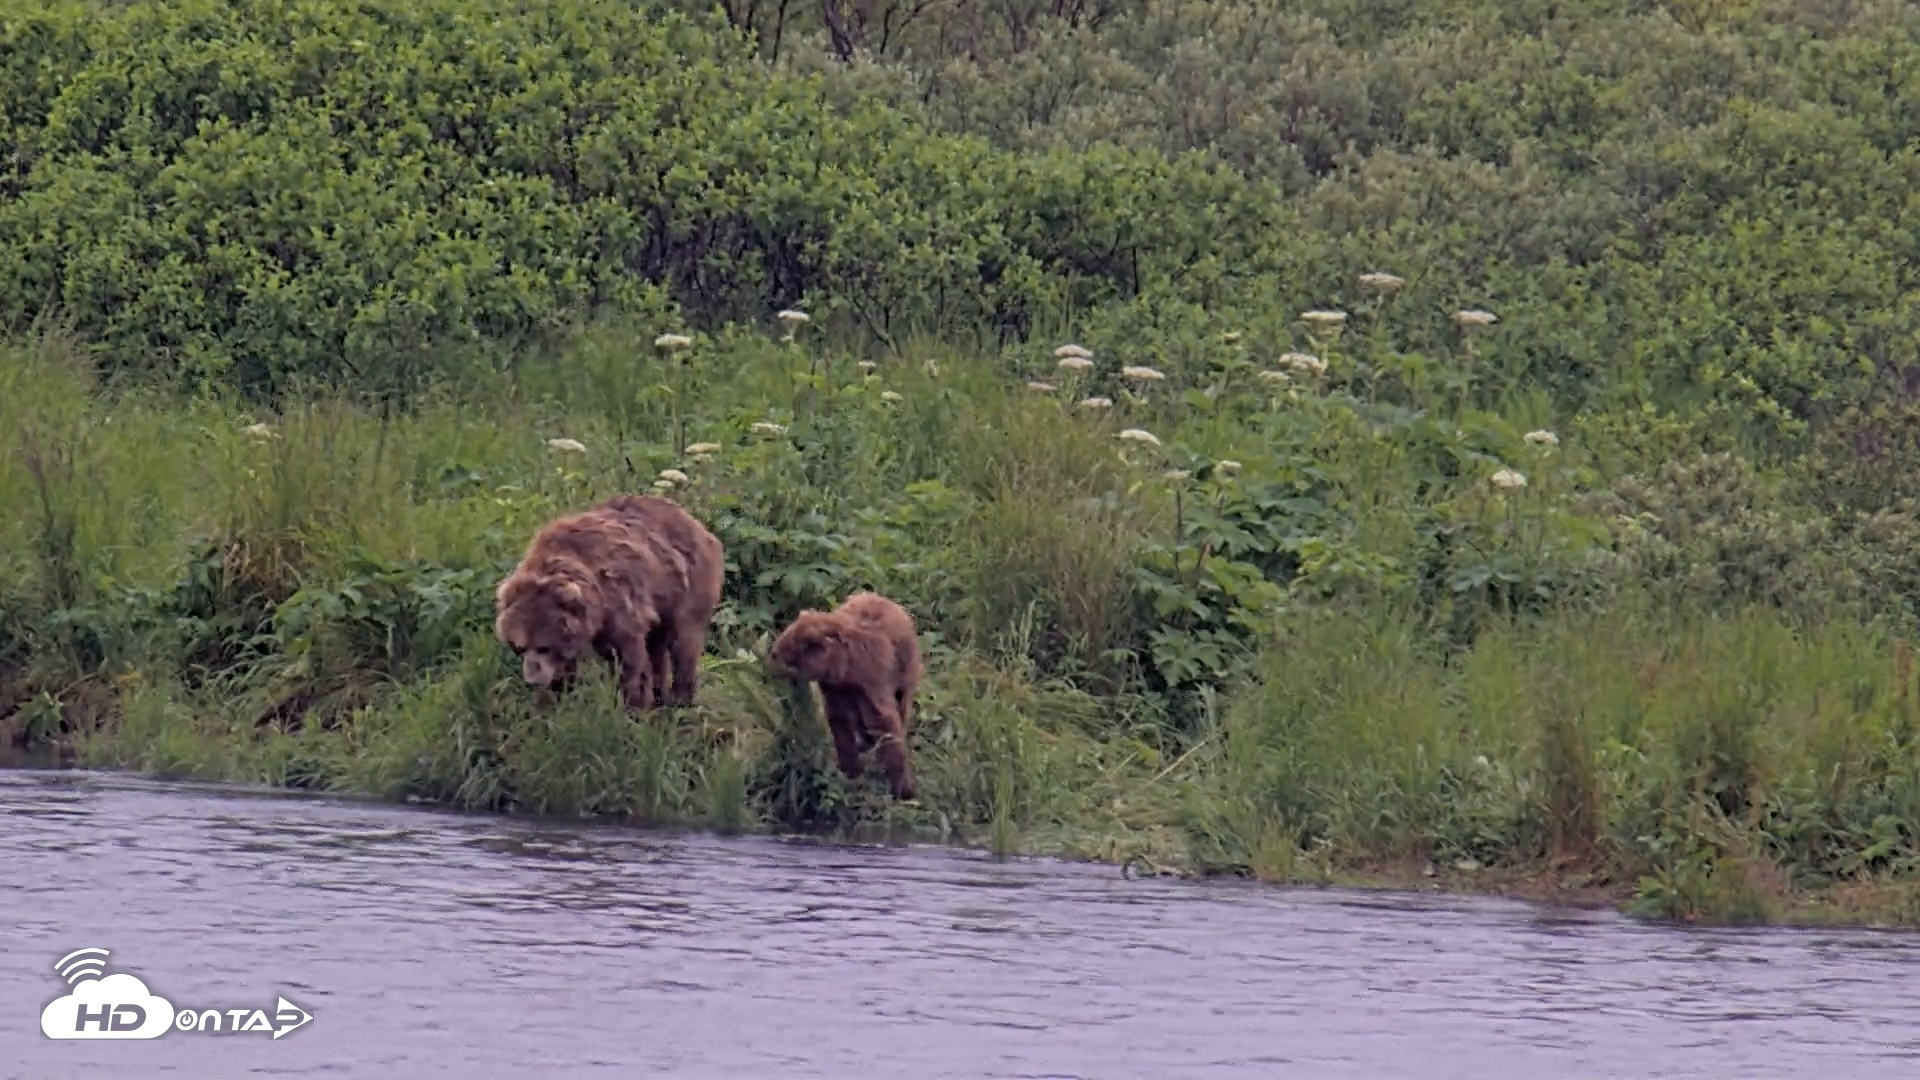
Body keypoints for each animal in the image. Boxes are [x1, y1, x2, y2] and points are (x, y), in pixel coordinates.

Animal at [494, 494, 724, 712]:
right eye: (519, 646)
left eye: (544, 647)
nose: (532, 681)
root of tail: (695, 522)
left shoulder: (618, 601)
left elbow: (628, 658)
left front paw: (634, 705)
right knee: (657, 646)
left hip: (687, 584)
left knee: (683, 641)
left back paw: (680, 699)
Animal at [769, 591, 923, 801]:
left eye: (780, 655)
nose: (770, 659)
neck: (843, 668)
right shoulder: (836, 688)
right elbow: (840, 721)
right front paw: (850, 769)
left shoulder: (870, 677)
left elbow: (883, 720)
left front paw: (903, 788)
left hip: (905, 667)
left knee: (901, 704)